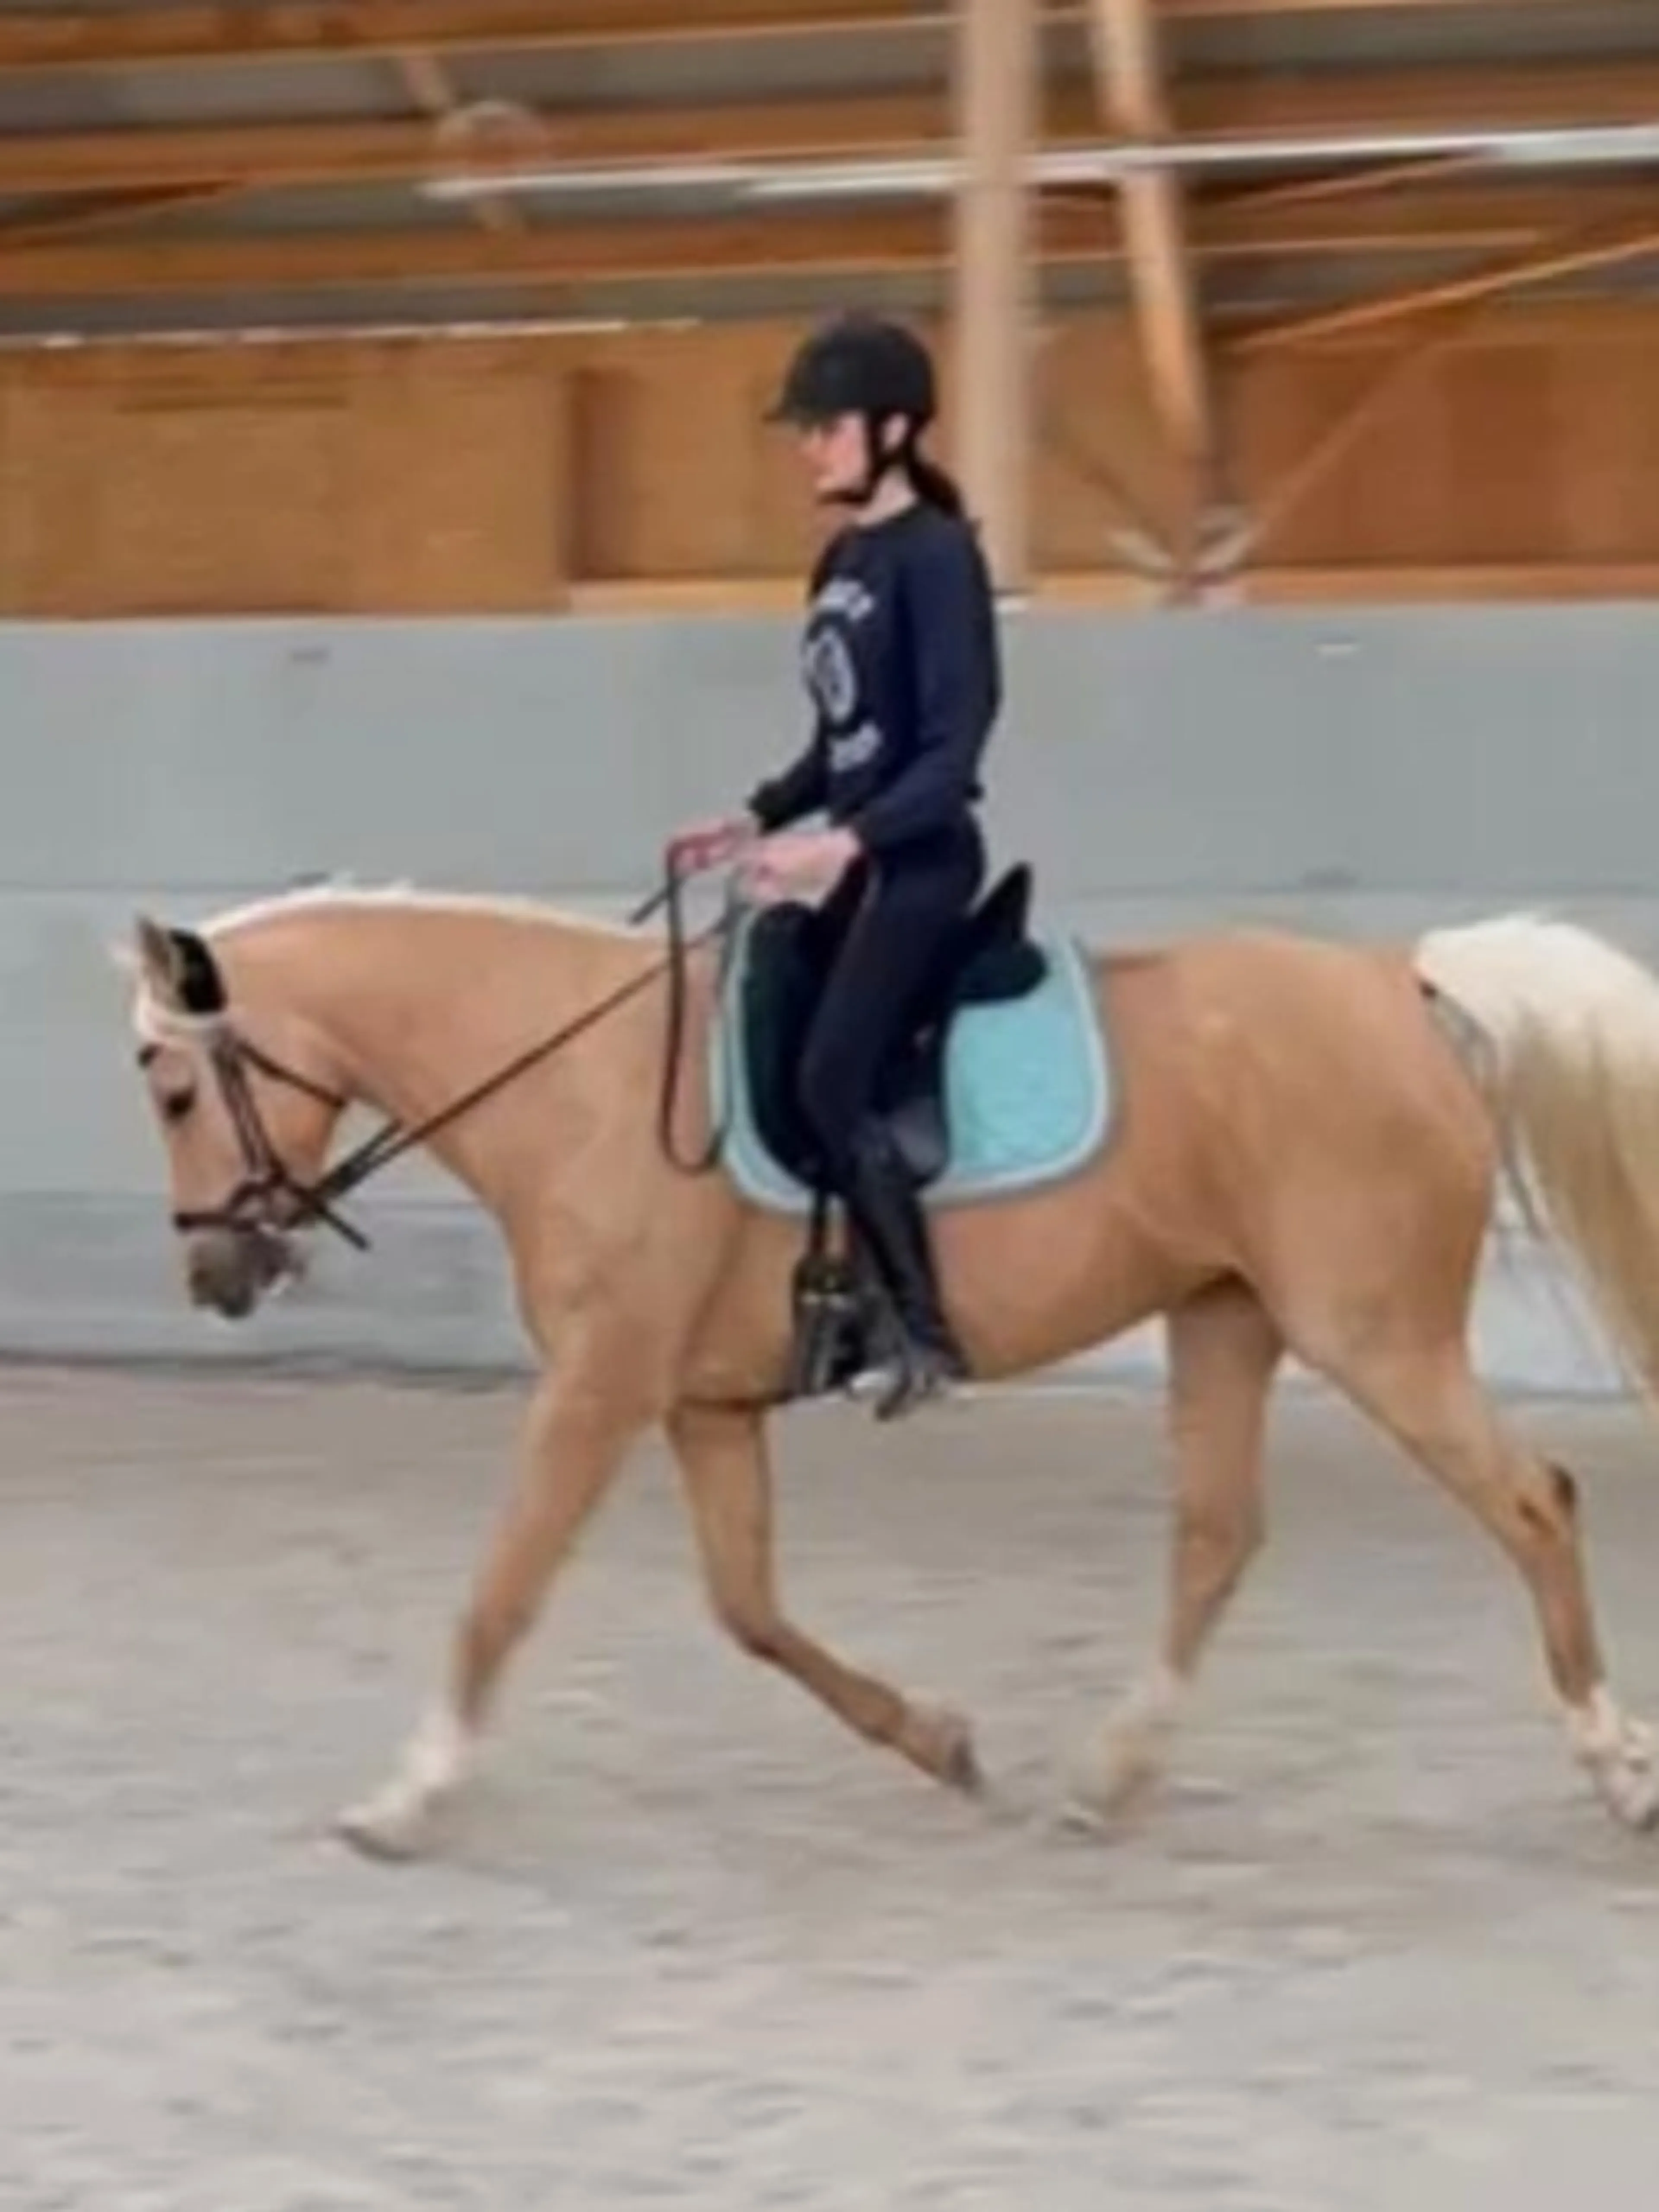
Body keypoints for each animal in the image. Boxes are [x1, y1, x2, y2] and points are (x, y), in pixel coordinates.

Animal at [118, 876, 1659, 1860]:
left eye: (176, 1087)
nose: (214, 1278)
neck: (585, 1087)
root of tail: (1393, 977)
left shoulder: (603, 1387)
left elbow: (502, 1590)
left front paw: (406, 1797)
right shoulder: (705, 1403)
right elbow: (749, 1610)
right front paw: (941, 1739)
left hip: (1372, 1331)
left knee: (1533, 1503)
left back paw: (1618, 1771)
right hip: (1226, 1316)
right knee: (1219, 1534)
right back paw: (1107, 1778)